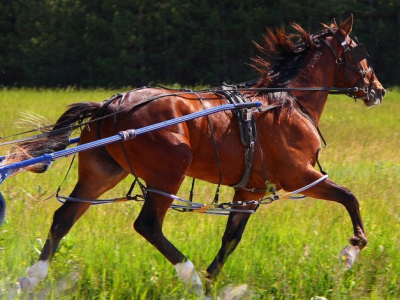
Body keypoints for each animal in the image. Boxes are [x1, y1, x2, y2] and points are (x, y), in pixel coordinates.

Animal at [2, 15, 384, 296]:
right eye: (359, 50)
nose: (378, 90)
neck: (285, 102)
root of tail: (110, 105)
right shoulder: (299, 175)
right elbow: (350, 197)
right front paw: (351, 251)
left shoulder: (250, 189)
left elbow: (231, 238)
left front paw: (213, 281)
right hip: (170, 171)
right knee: (147, 225)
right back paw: (190, 277)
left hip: (103, 172)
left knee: (63, 218)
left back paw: (30, 279)